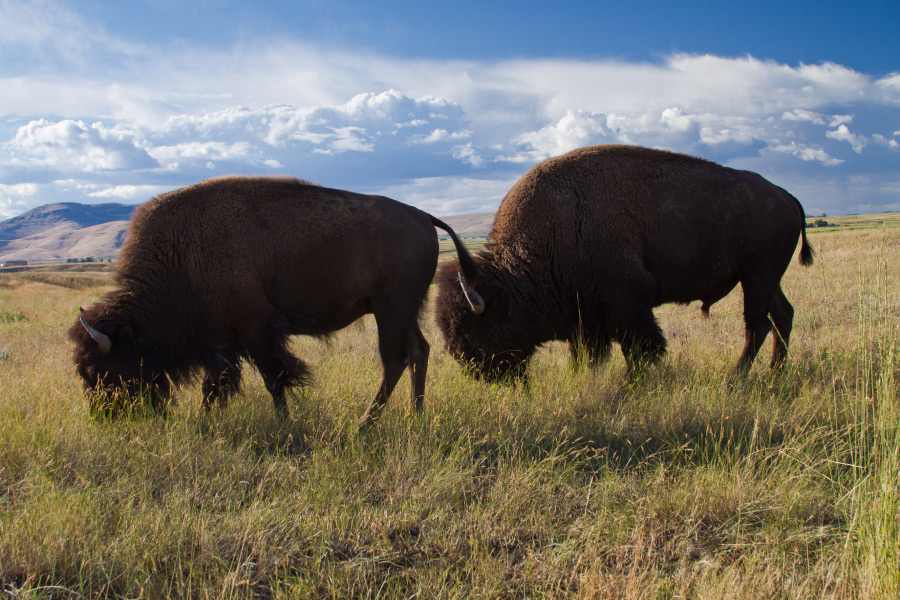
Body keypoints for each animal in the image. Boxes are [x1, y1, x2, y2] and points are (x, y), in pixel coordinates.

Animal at [71, 176, 482, 424]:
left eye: (97, 371)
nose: (102, 416)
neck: (180, 257)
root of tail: (425, 216)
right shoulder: (222, 340)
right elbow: (214, 383)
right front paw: (204, 423)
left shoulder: (256, 331)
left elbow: (274, 378)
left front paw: (284, 424)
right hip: (403, 310)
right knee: (419, 352)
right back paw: (415, 415)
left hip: (390, 310)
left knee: (394, 360)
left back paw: (365, 424)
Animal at [436, 144, 816, 380]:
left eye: (470, 328)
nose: (475, 370)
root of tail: (786, 195)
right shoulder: (587, 317)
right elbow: (587, 356)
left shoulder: (627, 304)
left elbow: (641, 349)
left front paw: (632, 384)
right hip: (765, 278)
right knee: (783, 316)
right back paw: (775, 374)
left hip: (757, 276)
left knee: (757, 324)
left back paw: (735, 378)